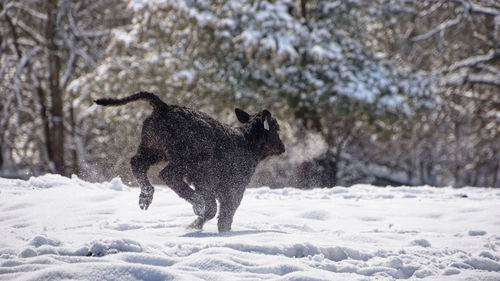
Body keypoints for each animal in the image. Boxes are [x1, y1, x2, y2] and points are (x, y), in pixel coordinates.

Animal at [94, 91, 286, 231]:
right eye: (276, 128)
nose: (283, 147)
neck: (247, 142)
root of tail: (164, 107)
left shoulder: (205, 183)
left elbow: (213, 208)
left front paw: (195, 225)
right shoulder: (233, 188)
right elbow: (224, 215)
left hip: (153, 149)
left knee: (137, 163)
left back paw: (146, 197)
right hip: (184, 158)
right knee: (167, 175)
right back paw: (195, 203)